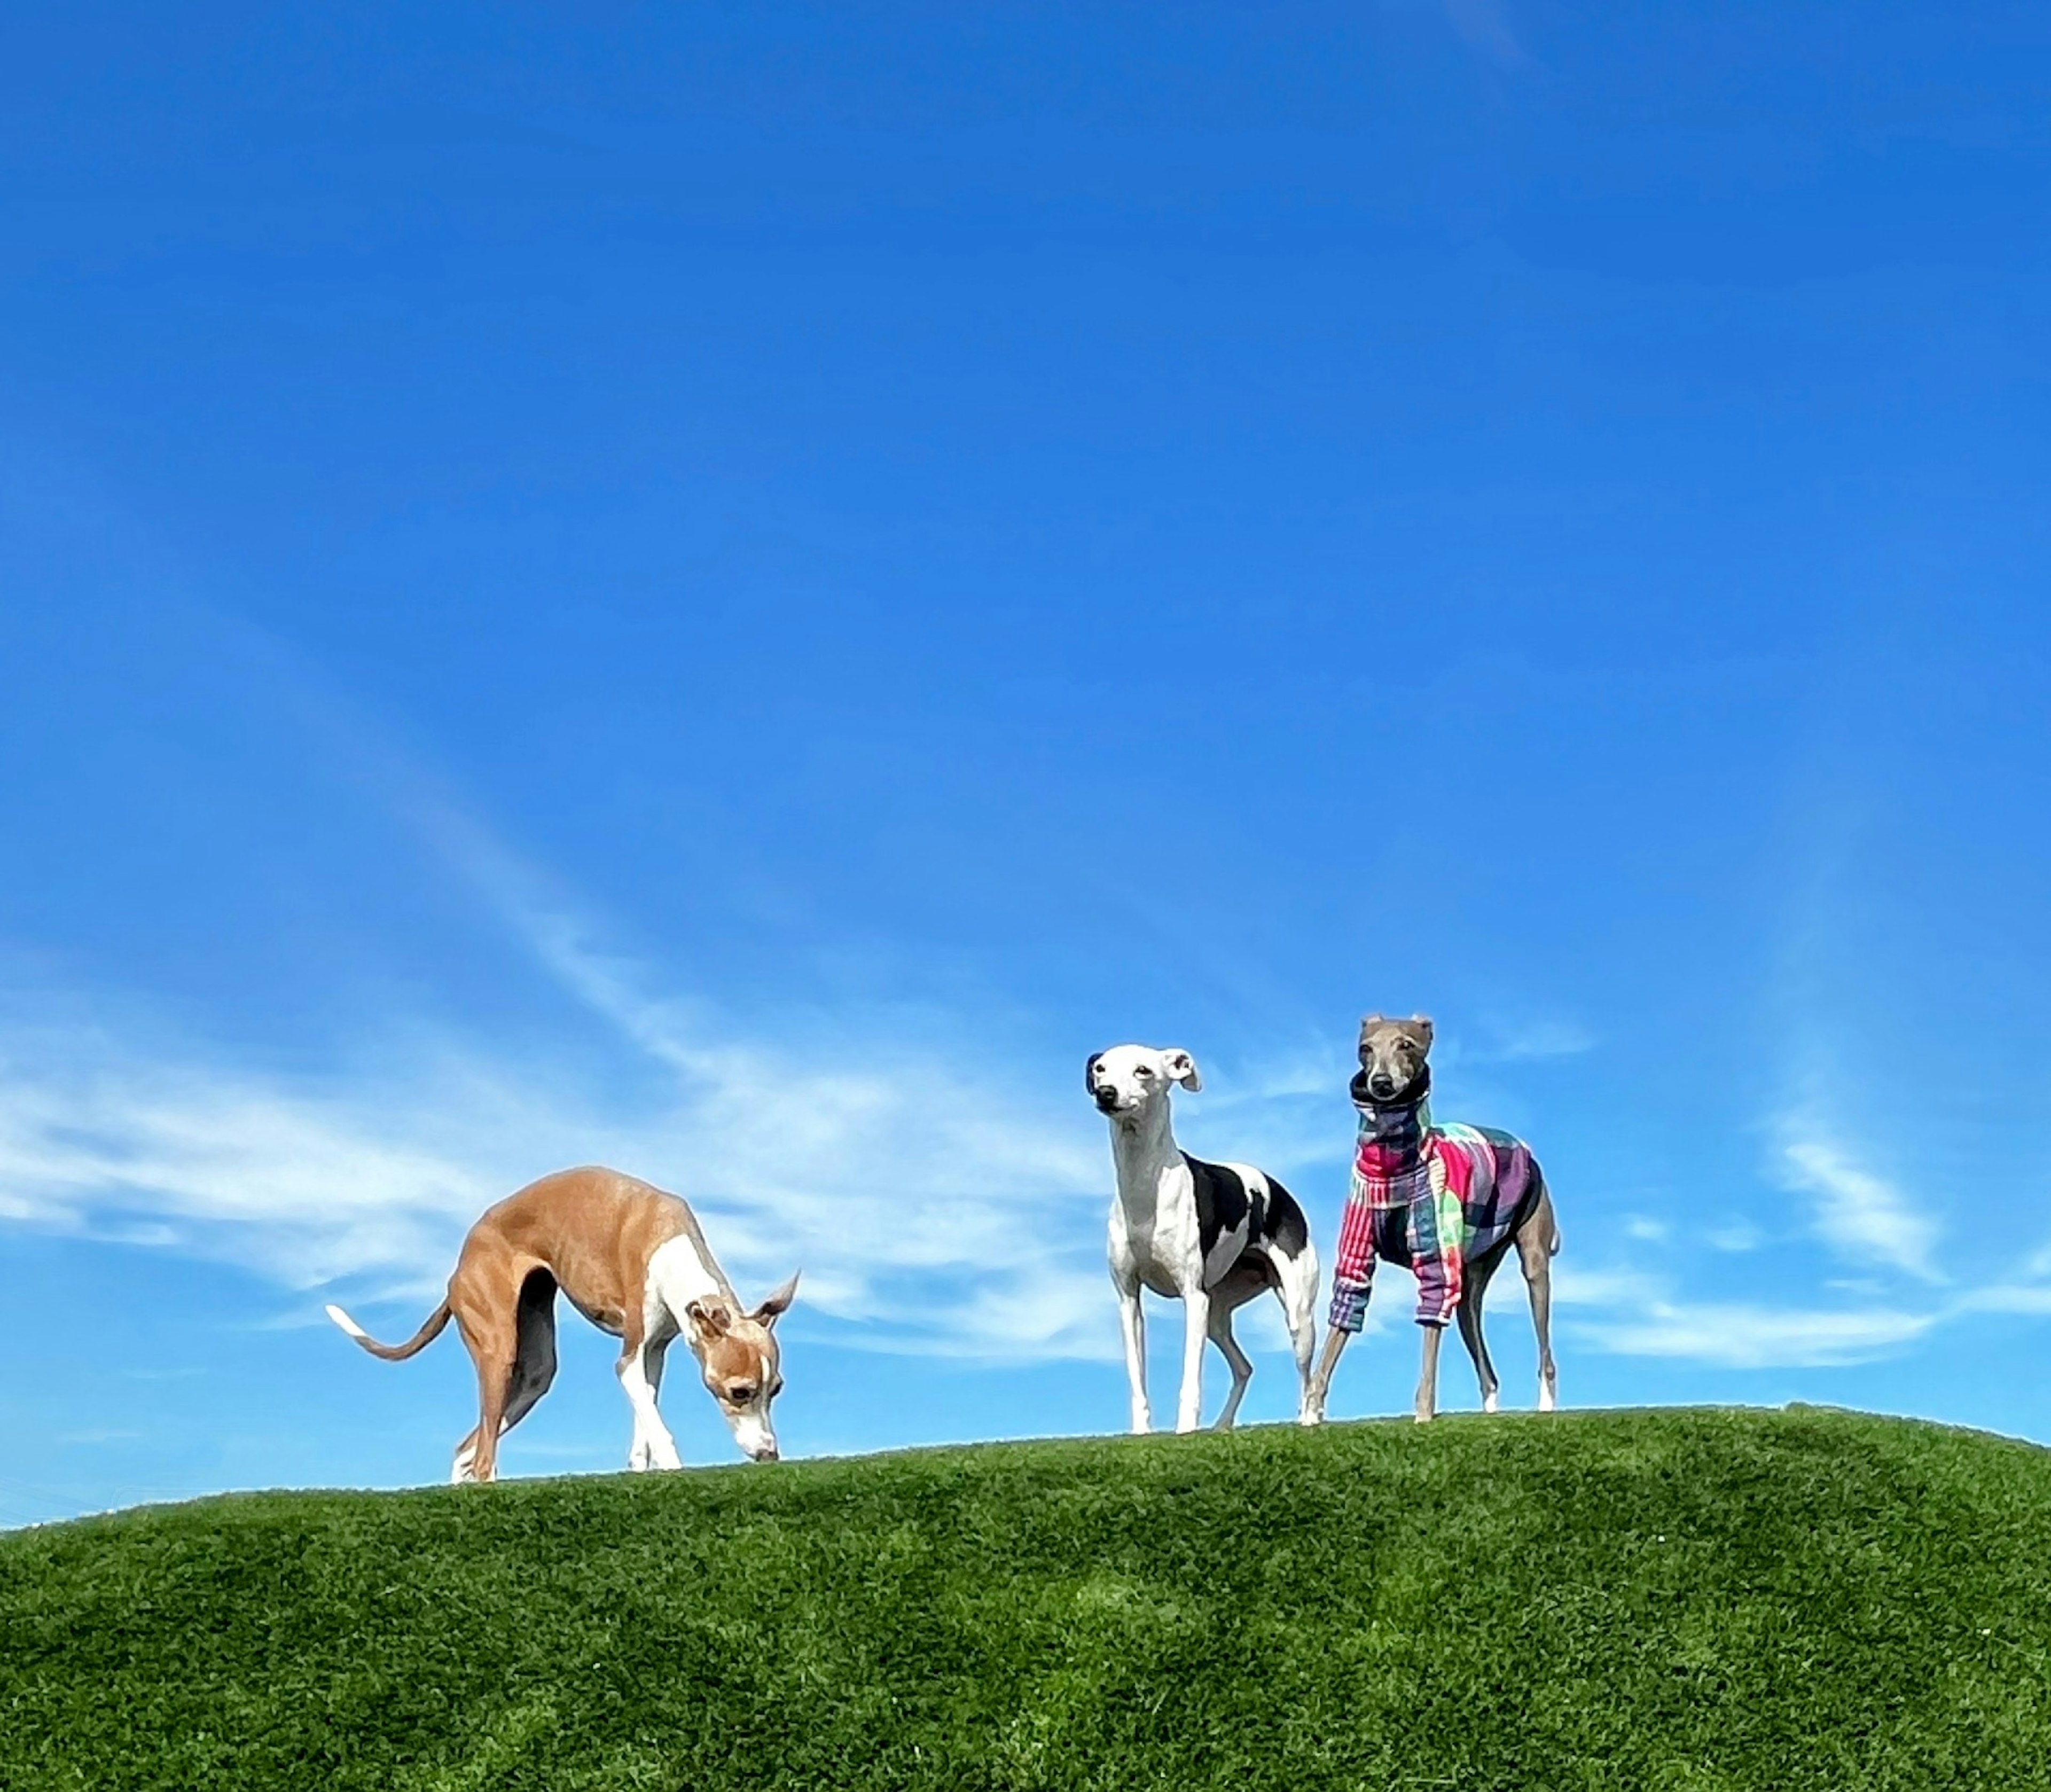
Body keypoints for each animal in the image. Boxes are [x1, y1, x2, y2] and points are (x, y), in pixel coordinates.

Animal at [324, 1156, 795, 1484]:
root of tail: (459, 1267)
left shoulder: (653, 1354)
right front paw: (675, 1470)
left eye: (776, 1389)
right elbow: (658, 1427)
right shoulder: (629, 1359)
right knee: (484, 1457)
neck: (670, 1243)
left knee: (467, 1449)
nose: (769, 1455)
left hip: (534, 1374)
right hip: (498, 1351)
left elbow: (644, 1421)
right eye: (739, 1391)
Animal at [1083, 1042, 1320, 1435]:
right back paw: (1223, 1425)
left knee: (1307, 1374)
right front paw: (1142, 1432)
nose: (1106, 1093)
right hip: (1217, 1314)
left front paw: (1185, 1431)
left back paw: (1309, 1418)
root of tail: (1279, 1190)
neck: (1146, 1188)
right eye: (1100, 1068)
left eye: (1143, 1070)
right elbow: (1136, 1374)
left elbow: (1190, 1375)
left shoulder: (1193, 1297)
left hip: (1297, 1311)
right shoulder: (1129, 1300)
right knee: (1244, 1367)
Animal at [1304, 1013, 1559, 1419]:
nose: (1381, 1083)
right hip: (1473, 1284)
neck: (1391, 1169)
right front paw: (1310, 1414)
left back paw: (1546, 1407)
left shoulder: (1437, 1262)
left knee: (1545, 1349)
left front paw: (1423, 1416)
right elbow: (1342, 1320)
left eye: (1407, 1045)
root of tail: (1521, 1145)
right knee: (1485, 1363)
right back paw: (1491, 1413)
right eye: (1366, 1048)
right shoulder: (1356, 1257)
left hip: (1534, 1261)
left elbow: (1429, 1336)